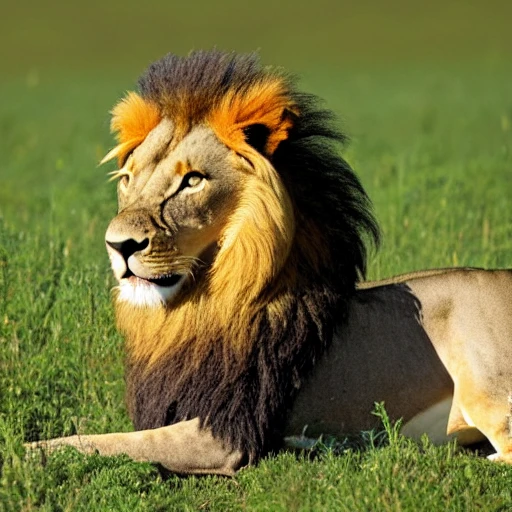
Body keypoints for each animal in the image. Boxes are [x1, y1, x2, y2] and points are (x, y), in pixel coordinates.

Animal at [27, 50, 512, 474]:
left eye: (192, 181)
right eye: (127, 179)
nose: (118, 245)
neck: (192, 312)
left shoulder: (223, 432)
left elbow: (106, 443)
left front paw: (26, 451)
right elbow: (98, 434)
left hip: (485, 385)